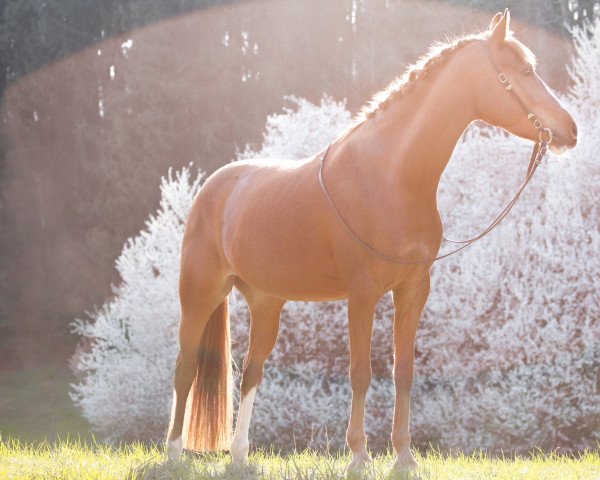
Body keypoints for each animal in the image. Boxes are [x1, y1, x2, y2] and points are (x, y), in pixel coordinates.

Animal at [164, 9, 576, 470]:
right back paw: (173, 454)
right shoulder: (362, 293)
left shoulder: (413, 289)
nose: (570, 130)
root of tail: (212, 188)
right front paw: (359, 455)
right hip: (200, 294)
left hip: (265, 302)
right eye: (523, 71)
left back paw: (239, 456)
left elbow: (403, 371)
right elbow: (361, 371)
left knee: (251, 371)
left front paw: (404, 457)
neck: (390, 176)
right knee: (185, 368)